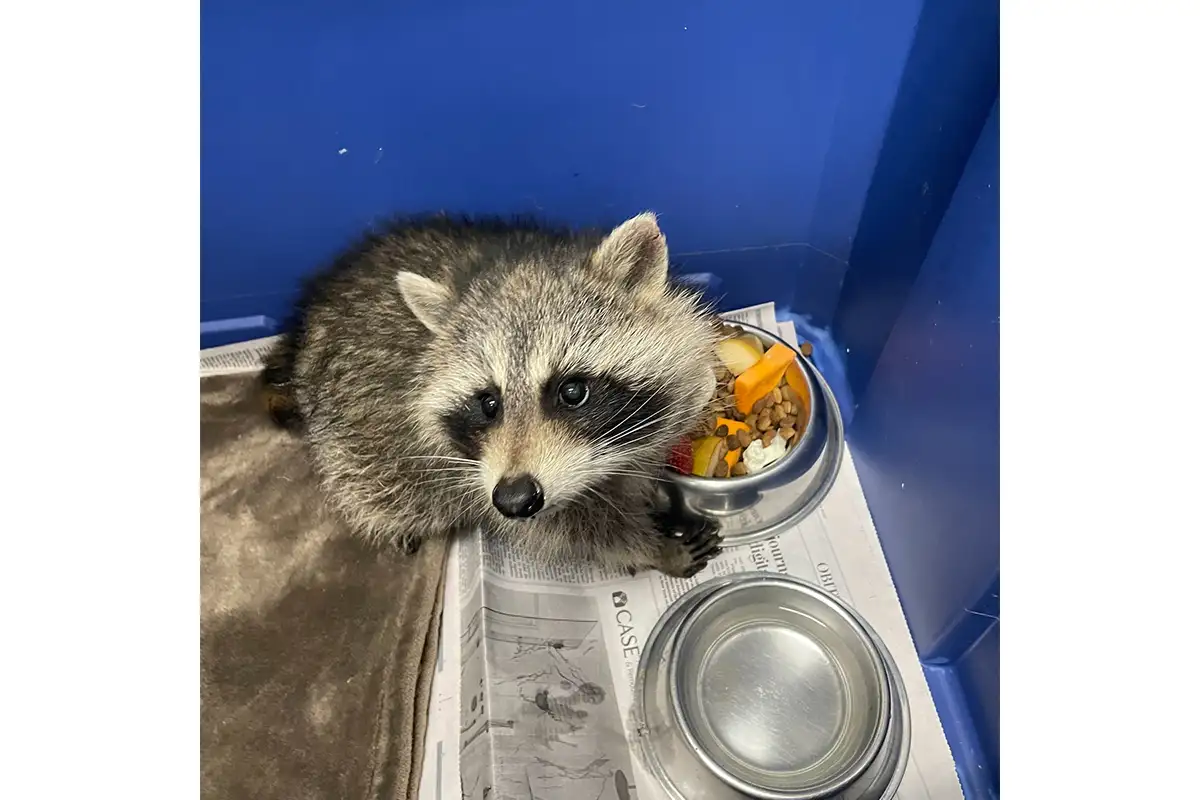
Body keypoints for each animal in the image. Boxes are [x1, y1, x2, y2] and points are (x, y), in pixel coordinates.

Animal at [262, 212, 724, 578]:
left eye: (572, 391)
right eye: (488, 404)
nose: (515, 498)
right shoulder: (475, 479)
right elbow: (575, 530)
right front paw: (651, 548)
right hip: (354, 454)